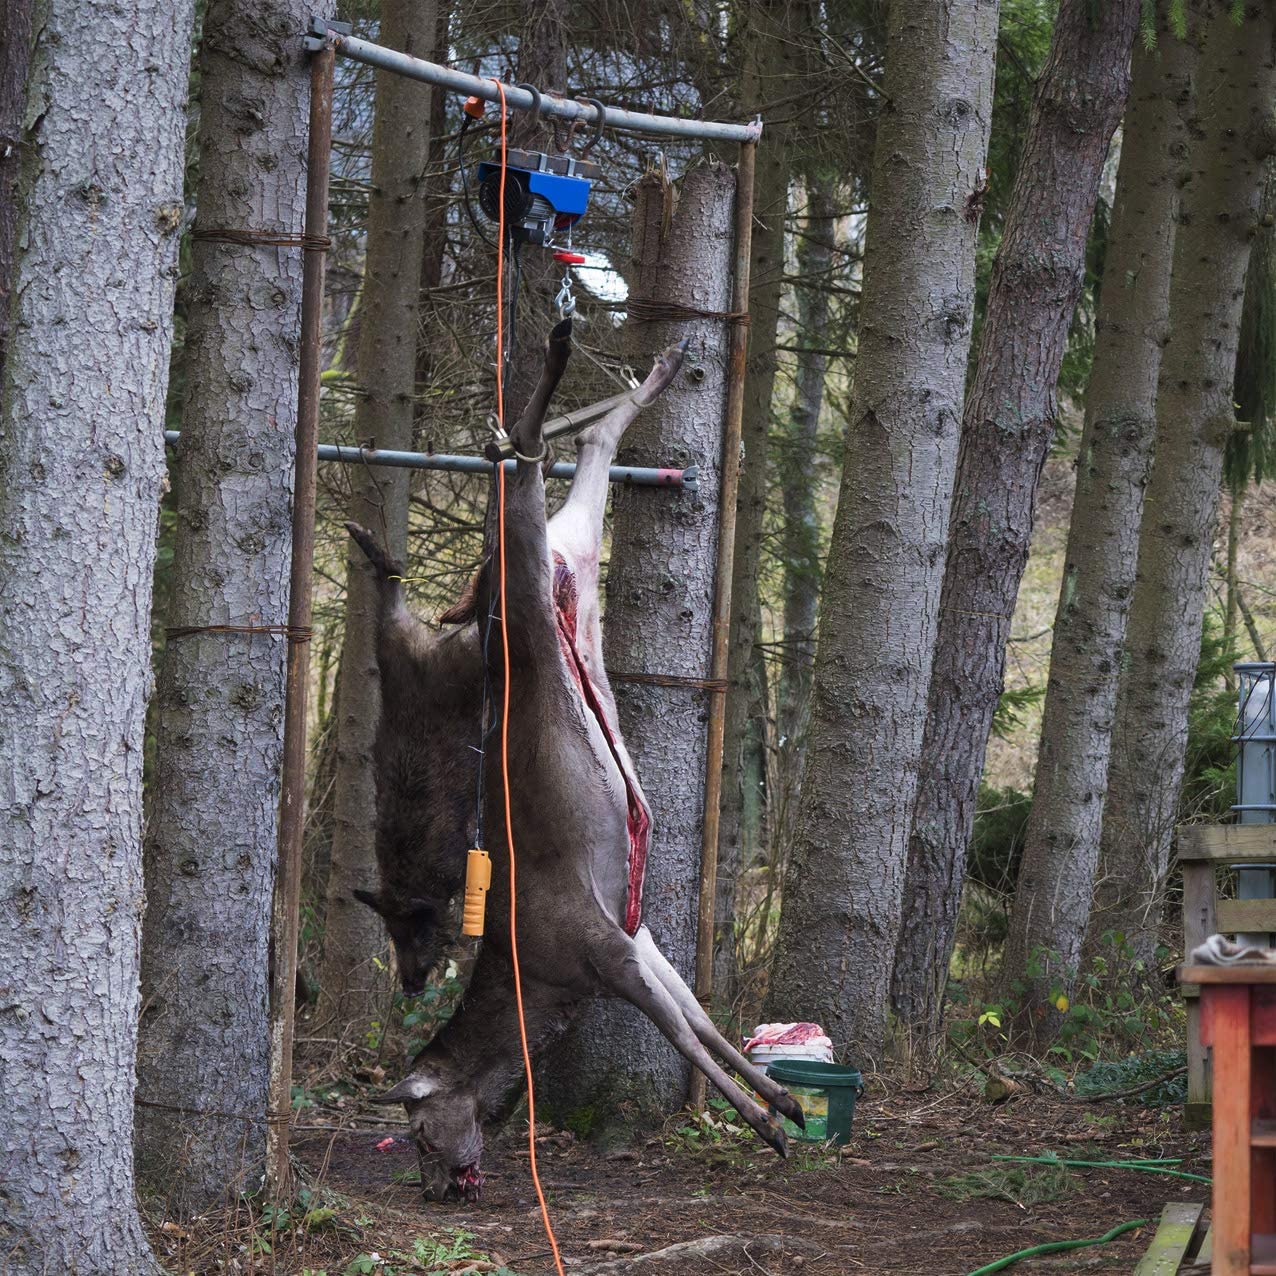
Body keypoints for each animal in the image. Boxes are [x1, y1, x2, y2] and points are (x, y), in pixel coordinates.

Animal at [346, 319, 803, 1203]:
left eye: (416, 1131)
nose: (435, 1184)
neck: (543, 989)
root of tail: (557, 552)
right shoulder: (639, 933)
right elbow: (702, 1018)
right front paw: (783, 1100)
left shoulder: (604, 948)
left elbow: (686, 1035)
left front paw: (766, 1123)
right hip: (573, 542)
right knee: (591, 446)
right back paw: (658, 364)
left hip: (523, 572)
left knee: (526, 459)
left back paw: (556, 362)